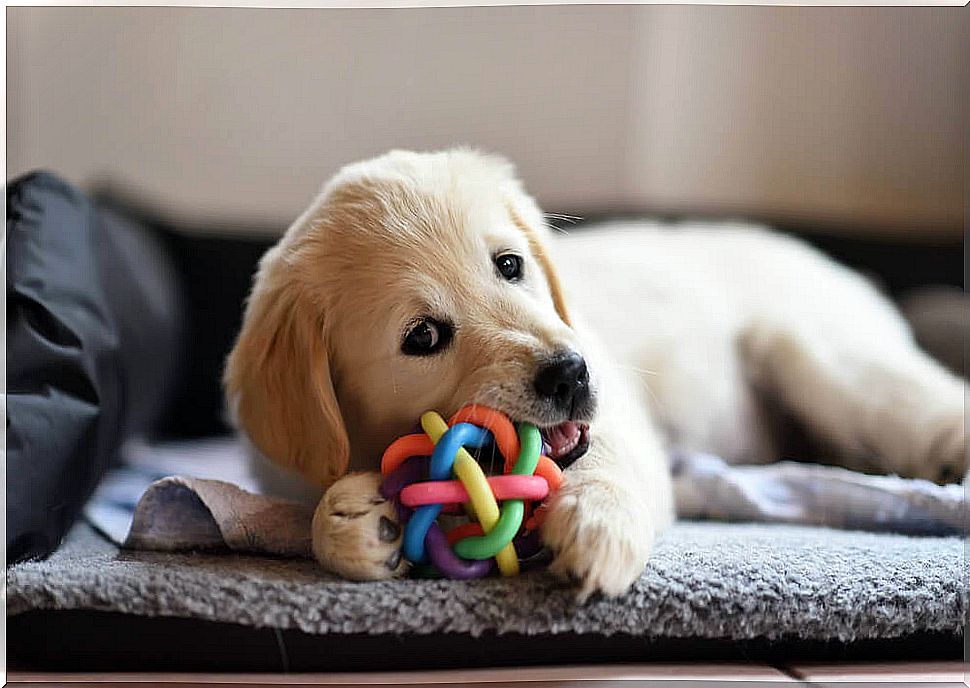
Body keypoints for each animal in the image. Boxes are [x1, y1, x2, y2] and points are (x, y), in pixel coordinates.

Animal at [225, 148, 960, 600]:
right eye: (423, 336)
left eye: (510, 265)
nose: (571, 375)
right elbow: (314, 514)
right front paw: (354, 519)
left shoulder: (620, 417)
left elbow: (605, 459)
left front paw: (596, 524)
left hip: (817, 355)